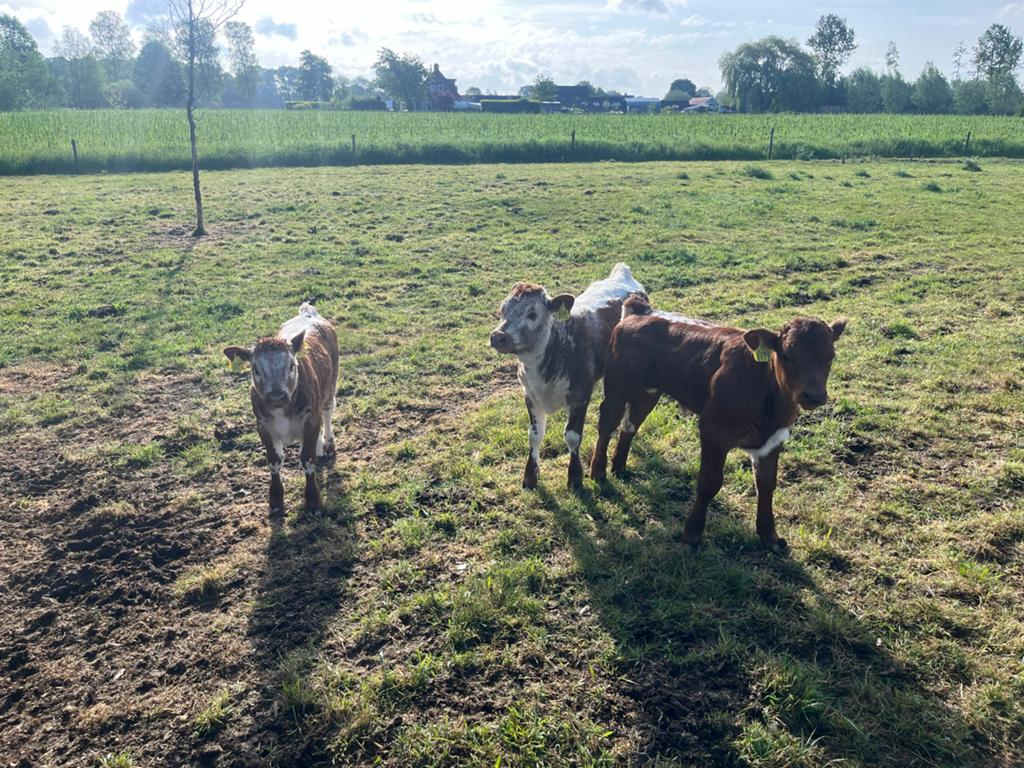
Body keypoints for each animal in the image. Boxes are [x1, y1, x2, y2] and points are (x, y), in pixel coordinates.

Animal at [223, 303, 339, 515]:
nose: (277, 396)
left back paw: (328, 445)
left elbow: (307, 459)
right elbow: (274, 461)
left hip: (331, 382)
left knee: (328, 411)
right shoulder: (263, 425)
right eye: (255, 369)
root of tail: (308, 312)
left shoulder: (311, 418)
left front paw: (313, 501)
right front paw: (276, 500)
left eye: (292, 365)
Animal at [490, 263, 646, 490]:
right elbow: (534, 436)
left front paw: (575, 478)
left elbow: (572, 437)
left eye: (532, 314)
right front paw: (530, 477)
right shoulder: (530, 395)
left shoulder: (579, 397)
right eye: (503, 310)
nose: (498, 336)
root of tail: (623, 275)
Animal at [590, 294, 847, 551]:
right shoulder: (713, 430)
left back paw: (619, 467)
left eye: (830, 357)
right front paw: (692, 535)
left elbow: (766, 484)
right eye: (786, 355)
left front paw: (769, 536)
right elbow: (709, 482)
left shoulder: (774, 438)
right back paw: (598, 471)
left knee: (631, 424)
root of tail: (642, 311)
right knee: (607, 423)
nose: (814, 395)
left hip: (648, 391)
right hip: (618, 386)